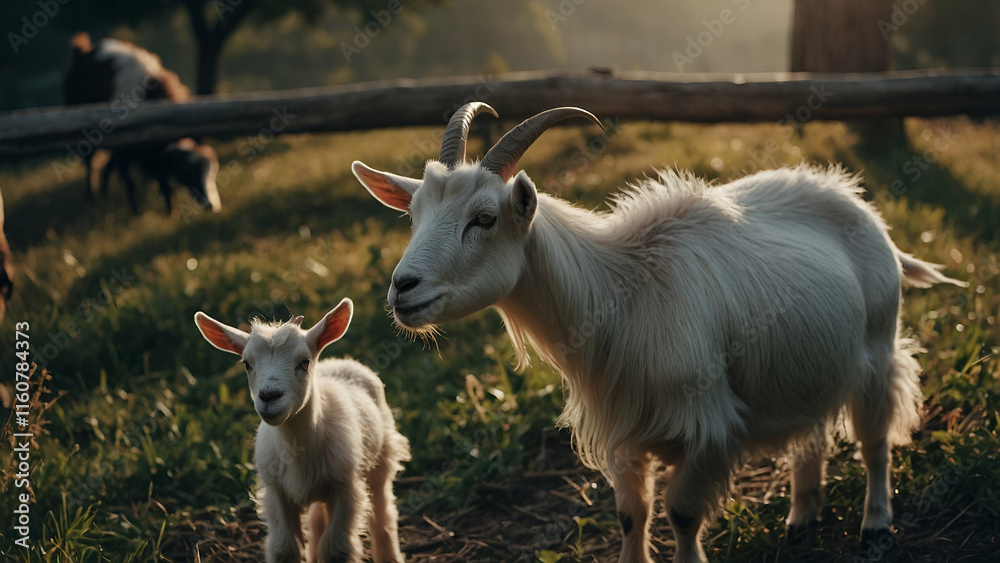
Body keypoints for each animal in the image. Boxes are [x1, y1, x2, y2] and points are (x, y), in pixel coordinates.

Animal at [64, 32, 221, 215]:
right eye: (187, 172)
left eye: (213, 172)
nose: (212, 205)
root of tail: (83, 52)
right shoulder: (126, 152)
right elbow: (130, 181)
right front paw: (137, 212)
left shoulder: (147, 156)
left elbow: (163, 182)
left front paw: (170, 210)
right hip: (88, 142)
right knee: (91, 167)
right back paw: (92, 198)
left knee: (107, 169)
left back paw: (105, 197)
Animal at [195, 299, 409, 563]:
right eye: (247, 364)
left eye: (304, 362)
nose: (269, 397)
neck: (297, 447)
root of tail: (342, 360)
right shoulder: (276, 492)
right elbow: (285, 548)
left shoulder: (346, 487)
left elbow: (336, 549)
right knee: (317, 521)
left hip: (382, 458)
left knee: (382, 515)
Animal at [351, 103, 966, 562]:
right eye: (414, 215)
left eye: (484, 218)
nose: (403, 289)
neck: (622, 291)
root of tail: (857, 203)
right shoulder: (625, 428)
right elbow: (632, 514)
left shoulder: (709, 424)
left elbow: (682, 514)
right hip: (812, 359)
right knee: (811, 432)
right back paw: (801, 517)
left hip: (877, 349)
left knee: (875, 443)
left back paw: (876, 525)